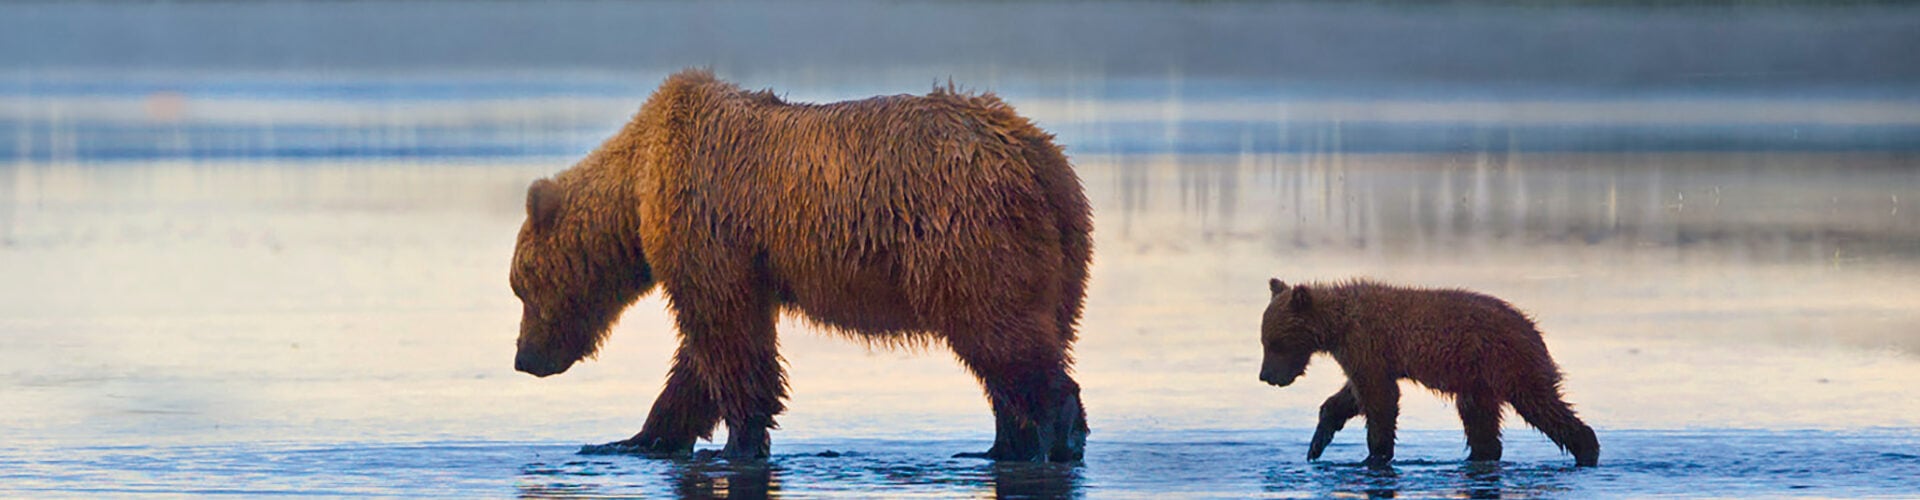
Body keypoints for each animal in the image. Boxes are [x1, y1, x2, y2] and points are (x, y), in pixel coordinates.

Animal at [506, 69, 1098, 461]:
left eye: (521, 286)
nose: (524, 358)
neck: (638, 180)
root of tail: (1040, 156)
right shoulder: (741, 261)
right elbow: (705, 352)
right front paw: (636, 439)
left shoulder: (707, 227)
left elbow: (727, 338)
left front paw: (740, 443)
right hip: (1063, 250)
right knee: (1029, 340)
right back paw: (1004, 446)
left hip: (966, 236)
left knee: (999, 333)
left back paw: (1057, 433)